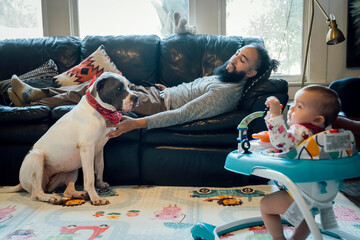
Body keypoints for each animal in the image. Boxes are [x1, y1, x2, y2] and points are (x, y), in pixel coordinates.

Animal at [0, 72, 138, 205]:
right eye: (119, 88)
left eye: (129, 86)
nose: (136, 97)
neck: (100, 110)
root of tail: (21, 182)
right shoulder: (87, 149)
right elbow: (89, 178)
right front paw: (95, 198)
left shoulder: (99, 149)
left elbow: (100, 168)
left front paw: (100, 185)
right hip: (37, 157)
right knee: (36, 194)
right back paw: (52, 198)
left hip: (72, 166)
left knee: (67, 191)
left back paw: (79, 194)